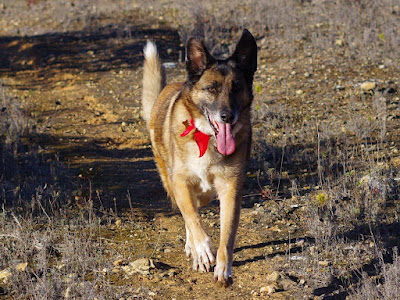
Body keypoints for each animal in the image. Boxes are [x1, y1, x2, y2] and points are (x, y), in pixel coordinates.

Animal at [142, 29, 258, 286]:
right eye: (212, 88)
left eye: (236, 87)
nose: (227, 117)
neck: (207, 137)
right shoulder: (180, 182)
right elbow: (193, 219)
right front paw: (203, 250)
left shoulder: (230, 189)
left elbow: (227, 235)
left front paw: (223, 268)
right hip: (169, 179)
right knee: (188, 211)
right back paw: (195, 250)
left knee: (197, 203)